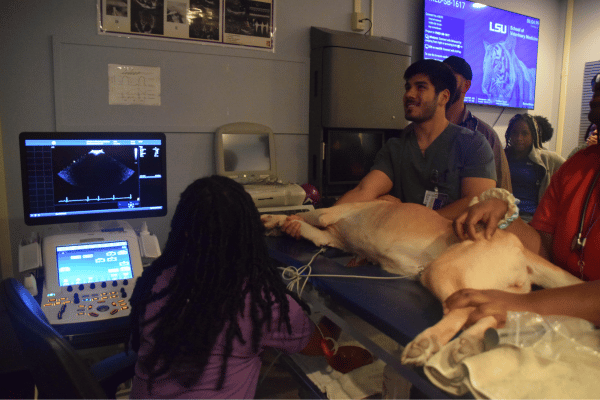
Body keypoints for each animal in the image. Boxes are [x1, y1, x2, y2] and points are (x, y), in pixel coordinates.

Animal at [262, 202, 580, 368]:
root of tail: (519, 247)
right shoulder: (329, 237)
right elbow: (311, 230)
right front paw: (281, 225)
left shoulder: (329, 213)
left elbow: (305, 215)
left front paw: (274, 219)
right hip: (500, 294)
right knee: (492, 314)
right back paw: (466, 345)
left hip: (443, 271)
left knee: (462, 312)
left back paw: (427, 343)